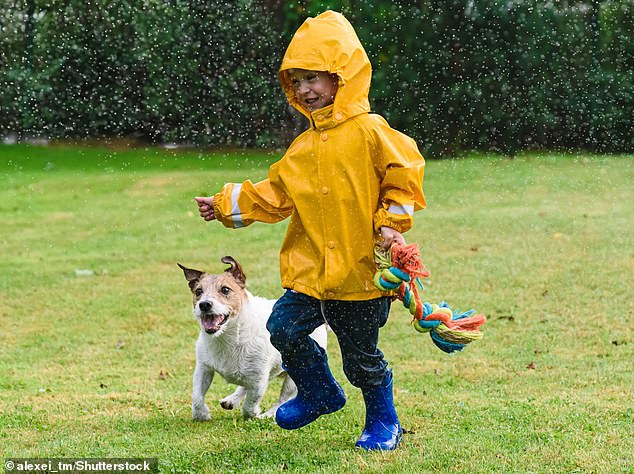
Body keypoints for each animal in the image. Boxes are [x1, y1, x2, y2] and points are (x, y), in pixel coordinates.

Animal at [178, 258, 326, 420]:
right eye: (198, 291)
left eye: (225, 290)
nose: (204, 304)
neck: (228, 337)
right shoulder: (203, 368)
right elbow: (197, 396)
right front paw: (202, 415)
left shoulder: (259, 379)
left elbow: (250, 403)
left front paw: (254, 413)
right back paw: (232, 400)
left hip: (294, 374)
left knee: (283, 398)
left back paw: (269, 414)